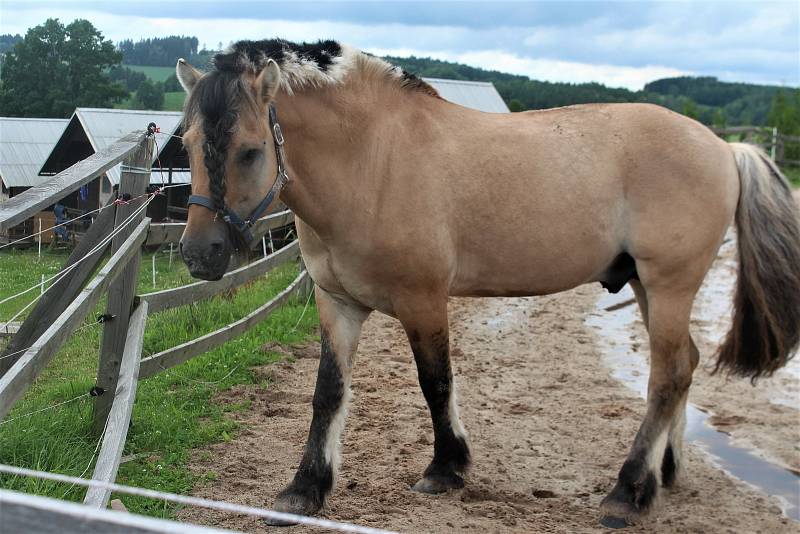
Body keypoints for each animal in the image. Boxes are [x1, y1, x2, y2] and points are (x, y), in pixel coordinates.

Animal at [177, 38, 800, 528]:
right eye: (186, 144)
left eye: (250, 151)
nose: (200, 254)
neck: (373, 159)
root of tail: (723, 146)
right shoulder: (339, 304)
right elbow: (328, 392)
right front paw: (305, 489)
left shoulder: (424, 301)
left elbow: (436, 383)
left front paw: (446, 470)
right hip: (650, 289)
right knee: (685, 366)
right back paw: (665, 474)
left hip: (668, 285)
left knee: (667, 376)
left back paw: (628, 494)